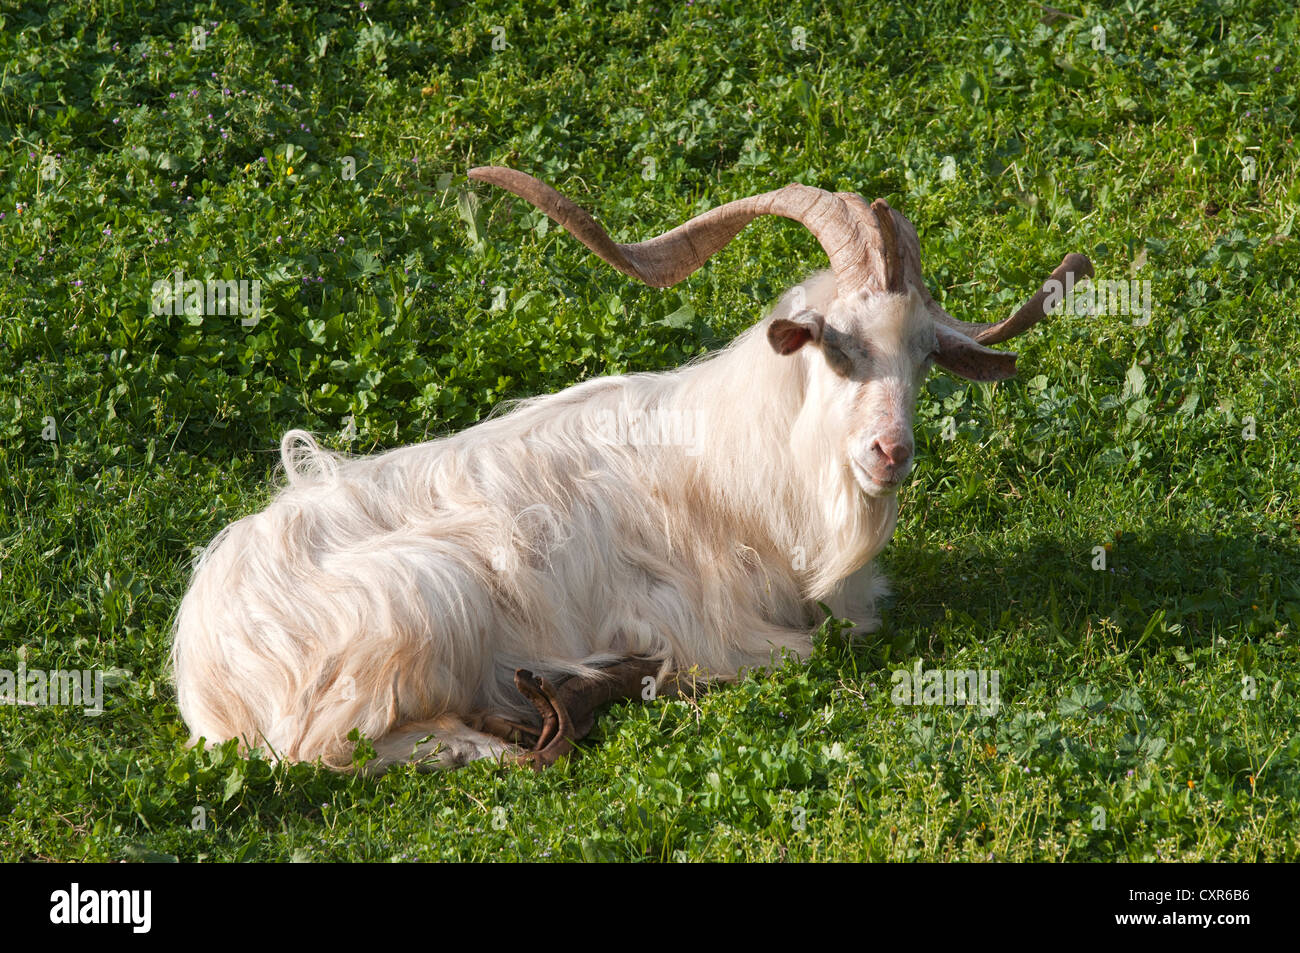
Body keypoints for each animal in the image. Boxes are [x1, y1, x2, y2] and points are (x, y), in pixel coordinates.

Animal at [167, 167, 1092, 769]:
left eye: (927, 357)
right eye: (837, 344)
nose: (889, 453)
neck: (743, 467)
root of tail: (210, 676)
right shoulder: (701, 621)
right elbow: (793, 654)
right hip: (421, 599)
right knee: (329, 749)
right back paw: (497, 734)